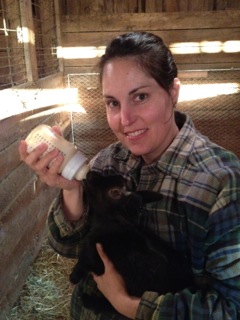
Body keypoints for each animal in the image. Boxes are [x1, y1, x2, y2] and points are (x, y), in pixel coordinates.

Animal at [69, 171, 195, 314]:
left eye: (115, 192)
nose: (91, 173)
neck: (114, 227)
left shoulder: (94, 256)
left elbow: (84, 260)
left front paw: (73, 276)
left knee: (112, 306)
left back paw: (87, 300)